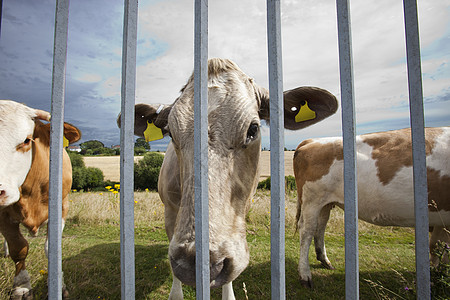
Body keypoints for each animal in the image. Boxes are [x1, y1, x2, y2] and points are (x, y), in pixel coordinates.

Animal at [0, 100, 80, 298]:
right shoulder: (3, 214)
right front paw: (21, 287)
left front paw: (59, 285)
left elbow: (52, 248)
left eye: (27, 140)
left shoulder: (62, 207)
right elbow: (19, 248)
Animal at [294, 126, 448, 288]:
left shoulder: (441, 221)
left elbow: (438, 246)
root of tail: (311, 141)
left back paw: (325, 261)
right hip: (312, 201)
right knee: (306, 231)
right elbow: (437, 247)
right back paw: (305, 275)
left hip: (325, 202)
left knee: (320, 227)